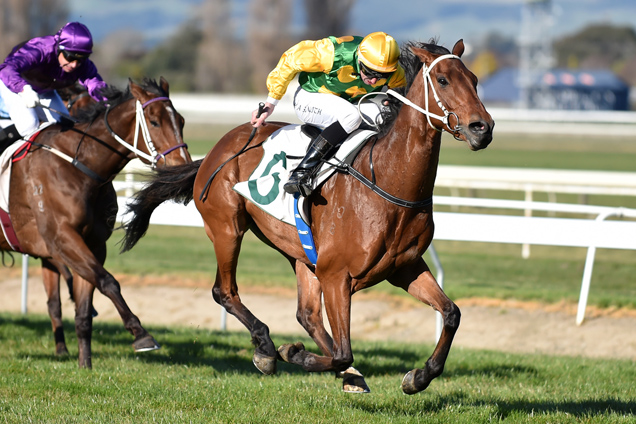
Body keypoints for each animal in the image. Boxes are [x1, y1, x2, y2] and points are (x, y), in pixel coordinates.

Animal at [1, 77, 193, 368]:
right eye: (154, 121)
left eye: (180, 121)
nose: (182, 169)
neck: (79, 166)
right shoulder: (63, 238)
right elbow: (108, 281)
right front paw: (141, 334)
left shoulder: (91, 243)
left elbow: (83, 306)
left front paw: (84, 363)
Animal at [121, 40, 494, 394]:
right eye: (443, 80)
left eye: (474, 80)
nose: (483, 128)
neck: (387, 181)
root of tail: (218, 148)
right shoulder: (336, 275)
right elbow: (343, 350)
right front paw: (292, 353)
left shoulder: (404, 267)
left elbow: (452, 313)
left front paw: (418, 377)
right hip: (227, 228)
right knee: (224, 291)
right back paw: (267, 349)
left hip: (299, 251)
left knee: (308, 315)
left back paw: (346, 374)